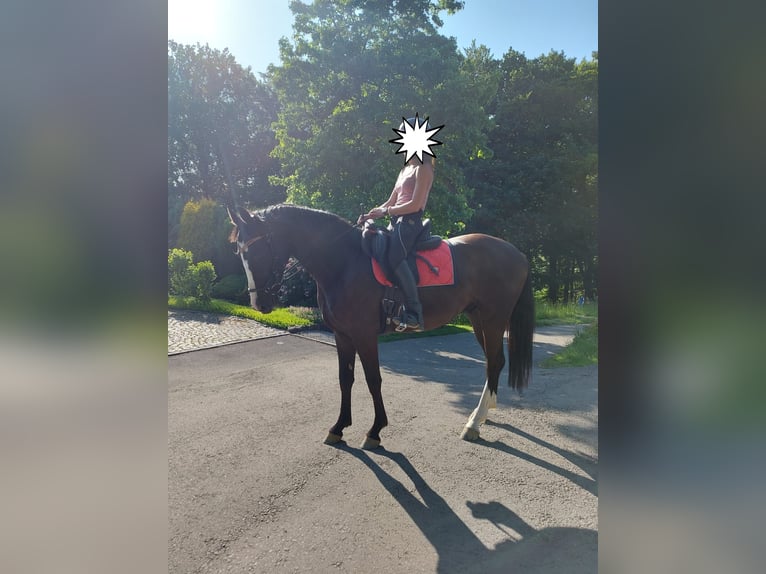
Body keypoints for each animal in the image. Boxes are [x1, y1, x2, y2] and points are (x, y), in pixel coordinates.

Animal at [228, 203, 534, 449]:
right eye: (239, 252)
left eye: (257, 250)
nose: (259, 303)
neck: (344, 262)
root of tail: (517, 253)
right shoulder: (342, 335)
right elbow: (345, 379)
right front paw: (338, 428)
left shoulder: (364, 335)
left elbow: (373, 380)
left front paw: (375, 431)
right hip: (478, 318)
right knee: (494, 362)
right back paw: (482, 414)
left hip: (493, 319)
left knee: (494, 361)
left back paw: (474, 423)